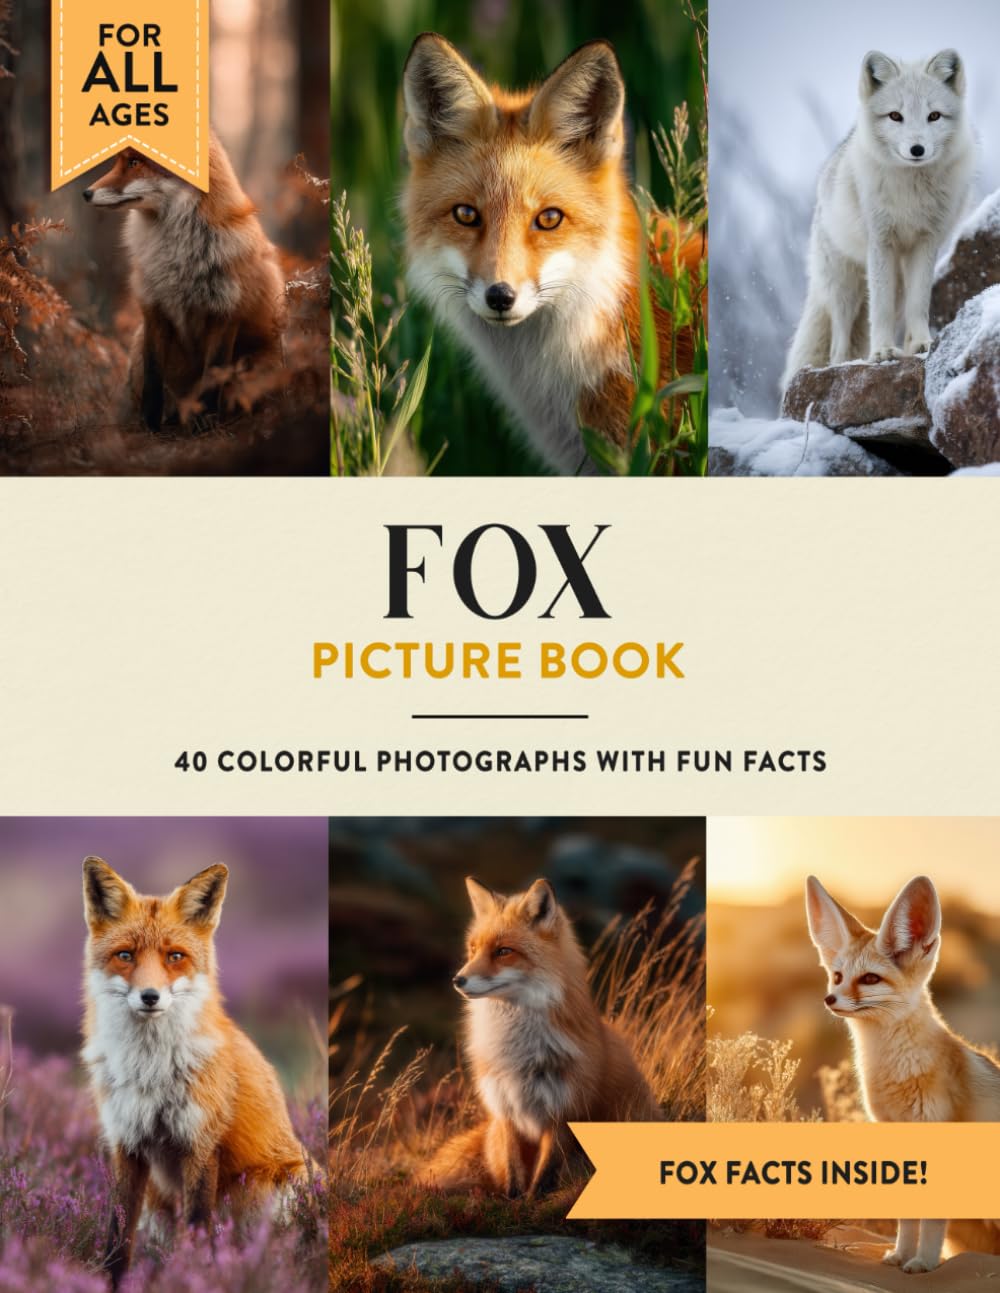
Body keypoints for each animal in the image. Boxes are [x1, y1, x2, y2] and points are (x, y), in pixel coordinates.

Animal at [82, 857, 312, 1288]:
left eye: (174, 956)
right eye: (125, 955)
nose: (150, 996)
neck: (150, 1069)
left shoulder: (200, 1142)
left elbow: (198, 1225)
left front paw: (196, 1275)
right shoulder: (127, 1142)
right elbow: (118, 1232)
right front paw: (110, 1282)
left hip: (269, 1191)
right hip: (158, 1204)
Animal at [83, 132, 286, 430]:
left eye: (134, 162)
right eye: (120, 161)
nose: (86, 193)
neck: (179, 257)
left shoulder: (225, 312)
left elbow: (213, 375)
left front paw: (206, 424)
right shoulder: (154, 310)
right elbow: (153, 381)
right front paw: (149, 427)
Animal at [419, 876, 660, 1198]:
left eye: (503, 951)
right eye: (473, 948)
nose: (458, 980)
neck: (519, 1051)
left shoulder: (563, 1110)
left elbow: (546, 1170)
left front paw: (533, 1199)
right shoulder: (504, 1109)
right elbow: (512, 1169)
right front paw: (511, 1201)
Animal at [783, 50, 974, 393]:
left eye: (934, 116)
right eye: (895, 116)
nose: (917, 149)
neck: (911, 190)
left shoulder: (926, 243)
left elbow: (920, 304)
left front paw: (921, 345)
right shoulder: (881, 242)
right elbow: (879, 310)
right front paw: (883, 352)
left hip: (895, 280)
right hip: (845, 288)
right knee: (839, 343)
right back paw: (843, 366)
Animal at [806, 874, 1000, 1275]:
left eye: (869, 979)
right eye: (837, 976)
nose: (830, 999)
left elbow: (932, 1221)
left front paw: (923, 1262)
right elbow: (907, 1217)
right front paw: (901, 1254)